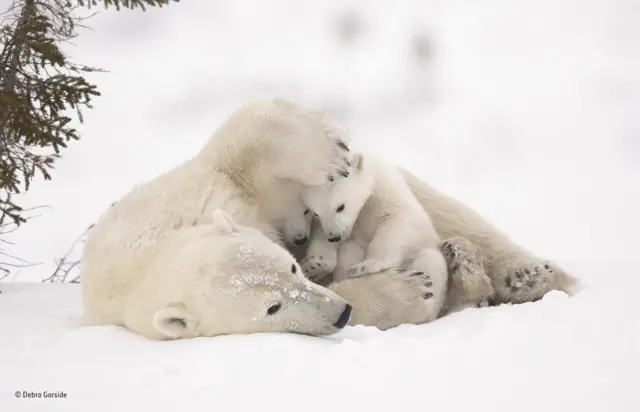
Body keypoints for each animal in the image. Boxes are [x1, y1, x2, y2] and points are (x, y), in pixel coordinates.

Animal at [299, 151, 449, 323]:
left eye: (340, 207)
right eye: (315, 212)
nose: (335, 237)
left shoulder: (386, 193)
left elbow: (400, 221)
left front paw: (365, 266)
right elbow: (322, 238)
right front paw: (315, 264)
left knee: (429, 263)